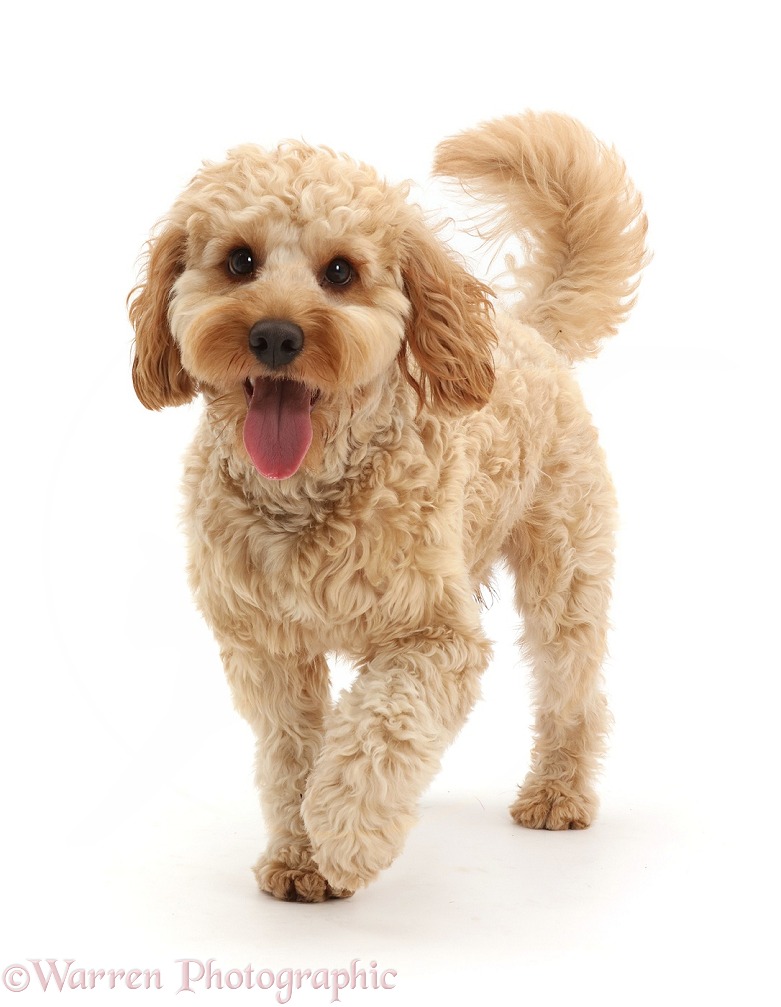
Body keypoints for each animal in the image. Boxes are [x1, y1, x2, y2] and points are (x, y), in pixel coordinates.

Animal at [130, 114, 648, 902]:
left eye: (340, 271)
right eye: (240, 261)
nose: (275, 335)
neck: (308, 495)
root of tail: (530, 333)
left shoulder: (435, 638)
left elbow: (381, 728)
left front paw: (348, 838)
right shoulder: (267, 652)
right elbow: (292, 756)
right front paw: (299, 856)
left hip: (564, 574)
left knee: (573, 693)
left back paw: (557, 793)